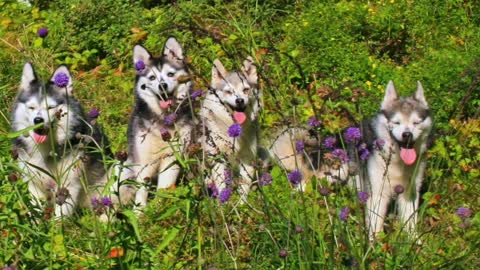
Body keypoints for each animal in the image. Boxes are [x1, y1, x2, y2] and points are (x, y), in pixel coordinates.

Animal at [11, 62, 109, 217]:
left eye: (51, 107)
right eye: (31, 107)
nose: (38, 120)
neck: (46, 150)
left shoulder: (69, 184)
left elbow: (60, 215)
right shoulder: (34, 183)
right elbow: (37, 209)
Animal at [111, 37, 194, 208]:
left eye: (170, 74)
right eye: (152, 78)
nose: (162, 86)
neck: (164, 121)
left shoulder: (172, 159)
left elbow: (164, 188)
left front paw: (158, 207)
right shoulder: (144, 163)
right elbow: (142, 190)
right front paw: (140, 211)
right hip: (123, 170)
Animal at [202, 57, 262, 200]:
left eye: (246, 90)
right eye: (228, 92)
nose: (239, 100)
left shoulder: (247, 158)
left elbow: (243, 187)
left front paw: (243, 204)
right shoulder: (218, 159)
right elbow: (222, 187)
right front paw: (223, 204)